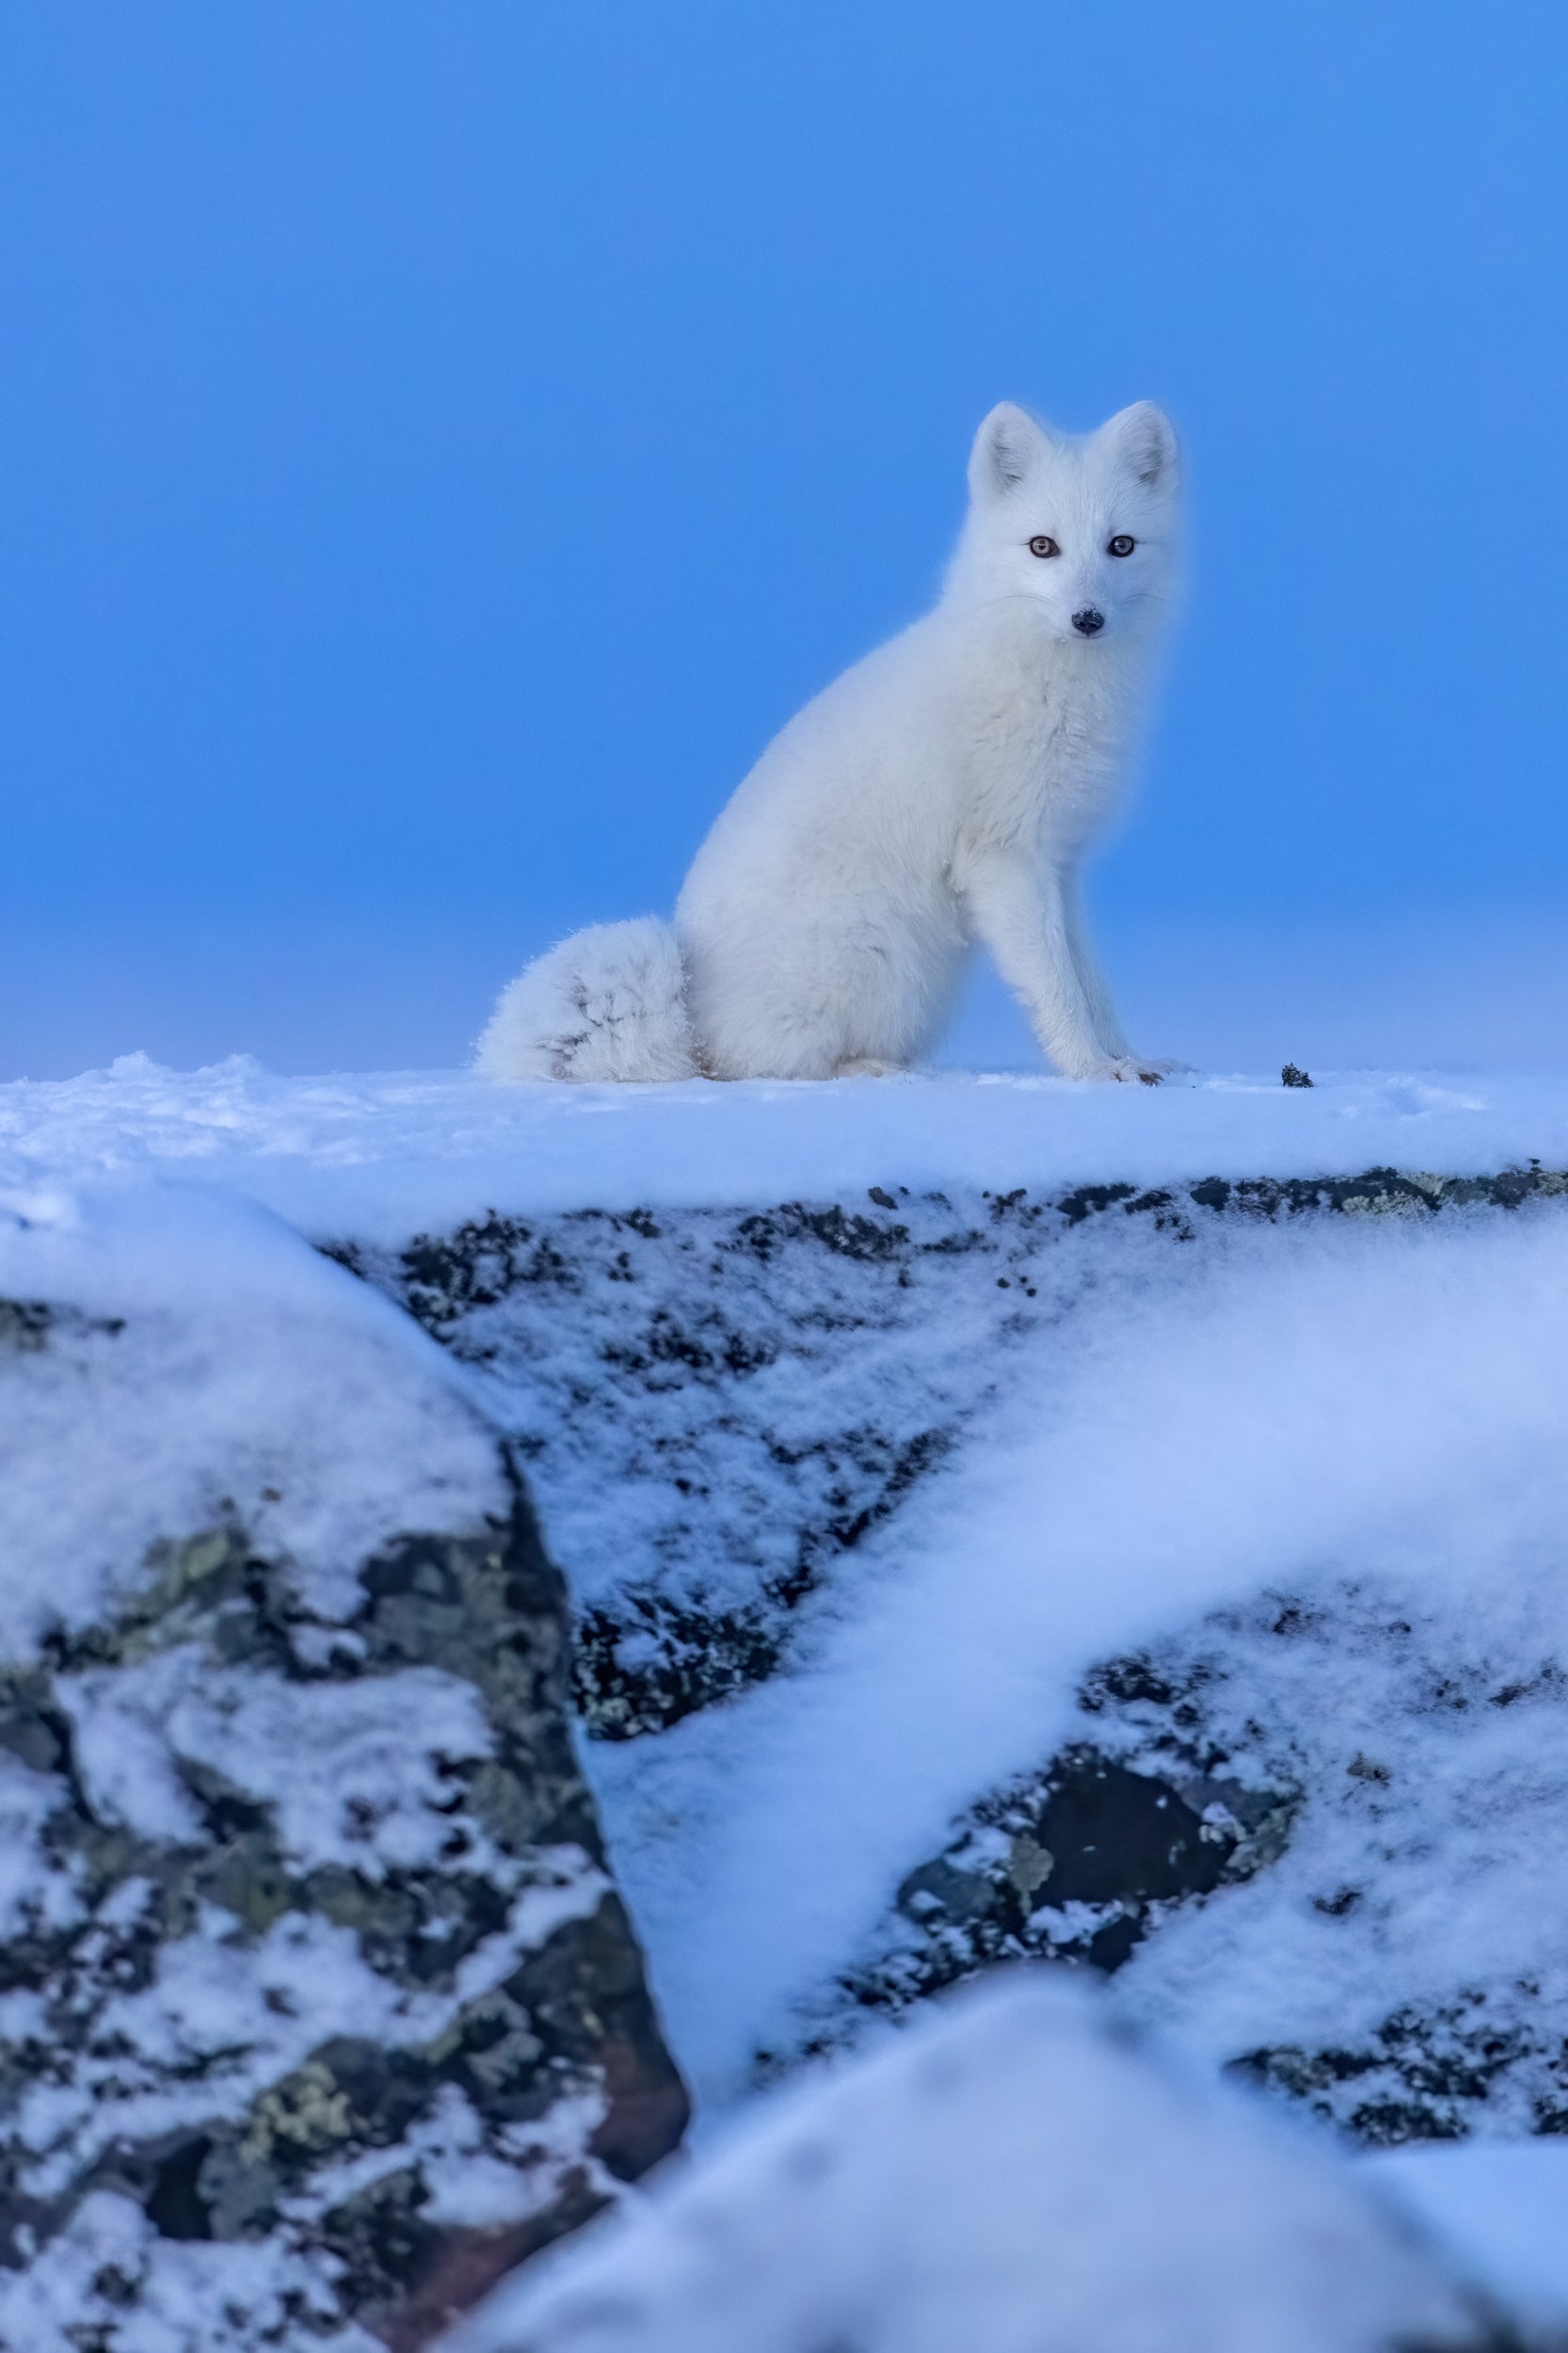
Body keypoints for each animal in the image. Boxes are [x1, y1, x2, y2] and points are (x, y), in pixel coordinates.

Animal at [477, 399, 1182, 1085]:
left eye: (1121, 545)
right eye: (1043, 546)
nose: (1087, 619)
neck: (1046, 679)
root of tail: (689, 1017)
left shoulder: (1059, 863)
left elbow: (1093, 984)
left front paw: (1134, 1061)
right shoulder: (1006, 859)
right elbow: (1056, 985)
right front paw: (1091, 1069)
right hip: (883, 960)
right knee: (763, 1065)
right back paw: (872, 1070)